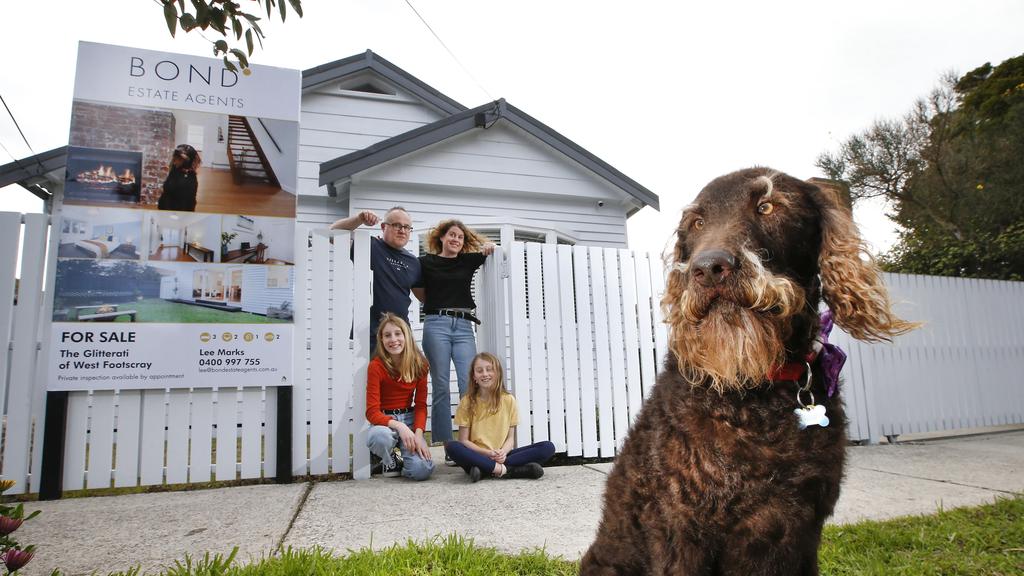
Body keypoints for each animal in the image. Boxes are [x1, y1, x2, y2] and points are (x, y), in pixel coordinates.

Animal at [581, 168, 917, 569]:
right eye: (697, 223)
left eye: (767, 206)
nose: (708, 268)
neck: (752, 392)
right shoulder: (680, 530)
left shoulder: (800, 528)